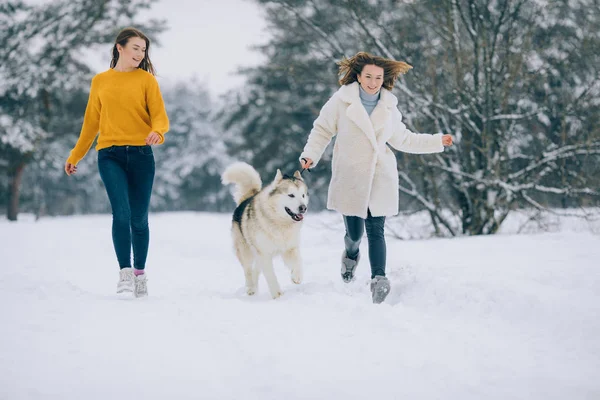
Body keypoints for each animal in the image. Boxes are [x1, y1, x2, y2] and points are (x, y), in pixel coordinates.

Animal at [223, 163, 312, 300]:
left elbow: (298, 261)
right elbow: (270, 275)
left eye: (303, 195)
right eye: (291, 195)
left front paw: (297, 277)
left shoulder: (290, 248)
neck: (279, 223)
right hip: (246, 252)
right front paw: (277, 294)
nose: (303, 208)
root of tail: (246, 199)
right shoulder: (264, 253)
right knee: (248, 270)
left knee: (255, 270)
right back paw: (251, 289)